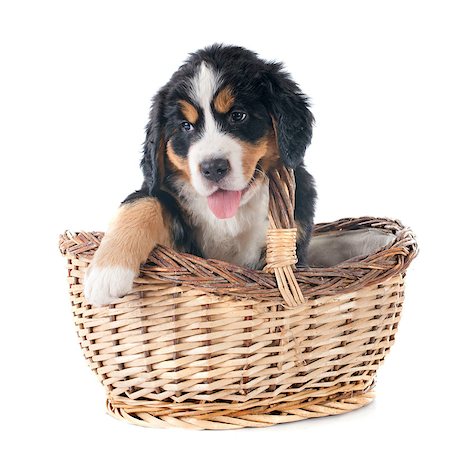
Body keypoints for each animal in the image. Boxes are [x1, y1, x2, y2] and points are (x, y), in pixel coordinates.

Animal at [84, 44, 316, 306]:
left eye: (238, 115)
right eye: (186, 126)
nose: (213, 168)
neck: (231, 218)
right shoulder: (169, 213)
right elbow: (142, 203)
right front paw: (106, 273)